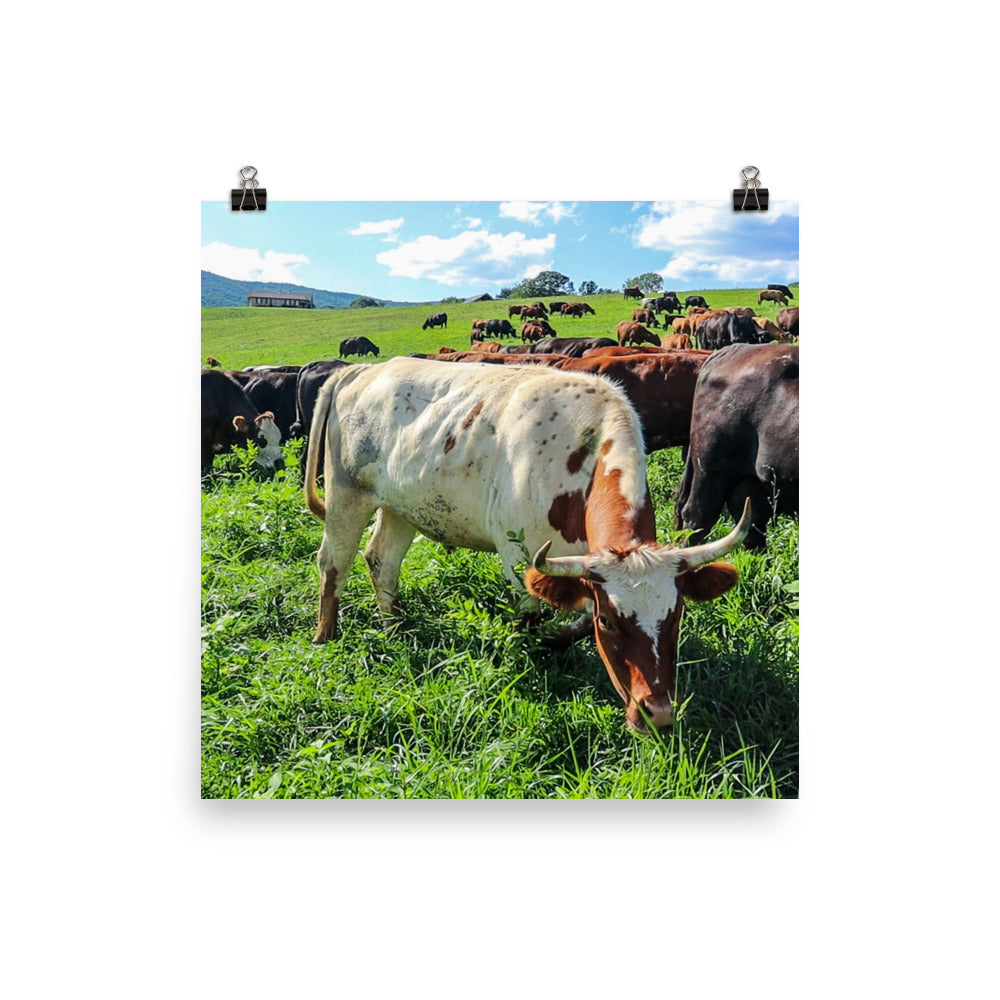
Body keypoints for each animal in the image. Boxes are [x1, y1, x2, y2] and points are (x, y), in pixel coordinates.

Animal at [304, 357, 750, 732]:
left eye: (676, 616)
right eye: (610, 622)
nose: (657, 714)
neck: (581, 455)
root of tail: (362, 370)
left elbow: (575, 621)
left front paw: (558, 638)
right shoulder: (519, 557)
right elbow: (531, 619)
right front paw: (533, 657)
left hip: (400, 507)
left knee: (382, 561)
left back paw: (395, 627)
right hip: (347, 495)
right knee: (333, 563)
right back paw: (326, 637)